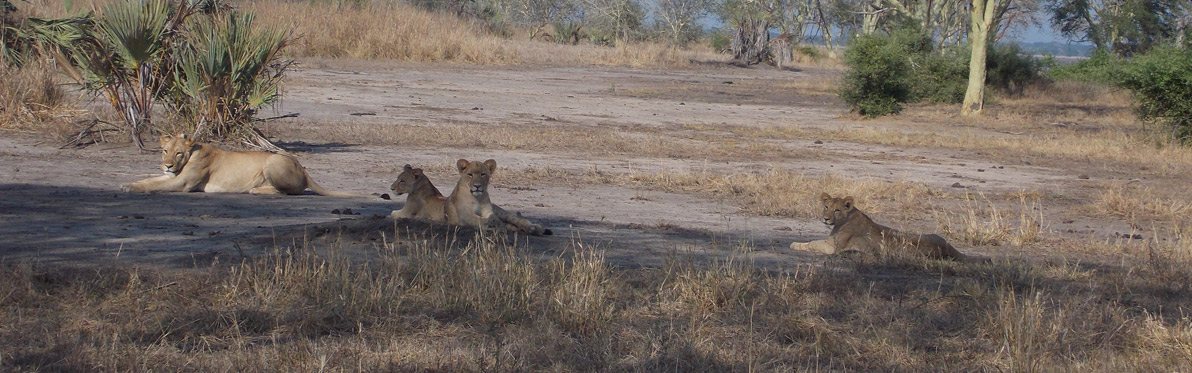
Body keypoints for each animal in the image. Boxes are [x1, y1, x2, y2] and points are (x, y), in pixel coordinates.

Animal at [121, 133, 364, 197]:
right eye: (165, 151)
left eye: (178, 153)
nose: (168, 165)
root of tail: (303, 168)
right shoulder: (172, 177)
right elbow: (148, 180)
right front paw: (128, 184)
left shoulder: (183, 183)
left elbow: (154, 185)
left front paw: (131, 188)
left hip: (273, 160)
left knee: (286, 192)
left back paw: (255, 190)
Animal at [791, 191, 967, 258]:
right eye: (826, 207)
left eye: (837, 210)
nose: (826, 219)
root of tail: (948, 247)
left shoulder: (832, 247)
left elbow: (812, 243)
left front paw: (794, 244)